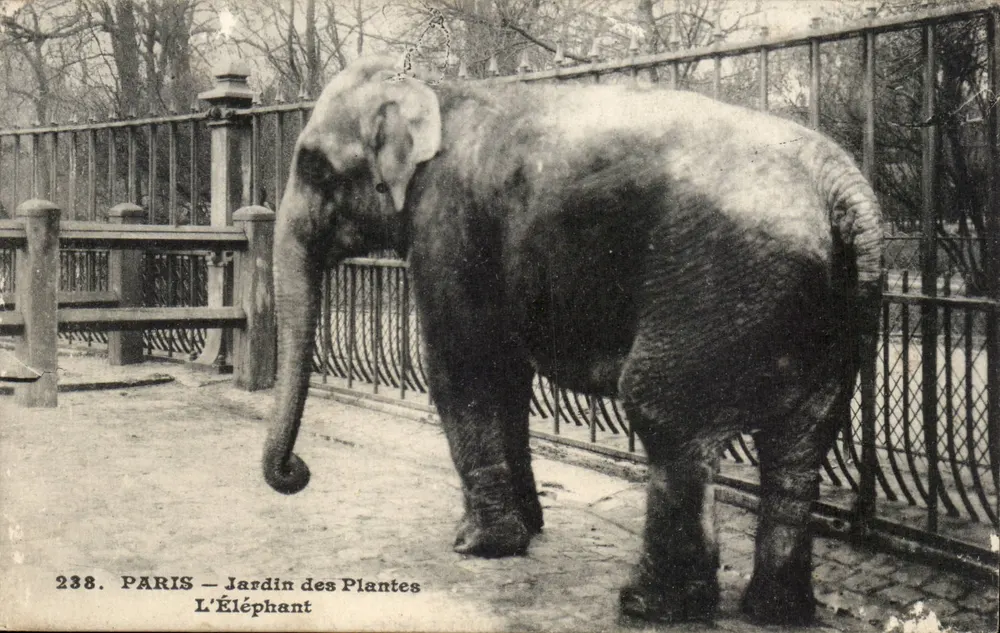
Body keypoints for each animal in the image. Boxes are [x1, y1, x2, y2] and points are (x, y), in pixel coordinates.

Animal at [261, 57, 883, 626]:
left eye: (313, 165)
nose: (297, 471)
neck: (432, 87)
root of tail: (843, 189)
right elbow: (507, 377)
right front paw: (527, 530)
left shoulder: (447, 223)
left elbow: (462, 367)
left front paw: (477, 546)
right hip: (829, 316)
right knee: (804, 438)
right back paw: (776, 611)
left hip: (719, 285)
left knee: (663, 411)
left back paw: (648, 605)